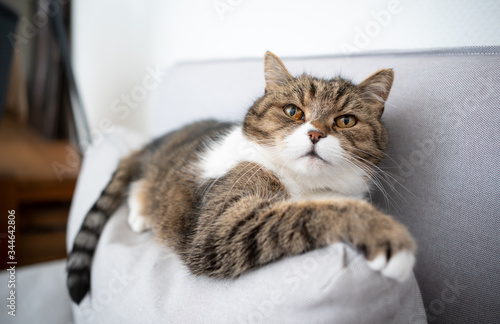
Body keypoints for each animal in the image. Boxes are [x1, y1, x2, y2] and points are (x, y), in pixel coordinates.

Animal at [68, 50, 416, 304]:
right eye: (293, 111)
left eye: (346, 121)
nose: (316, 134)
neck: (304, 184)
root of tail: (154, 144)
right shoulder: (221, 226)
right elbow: (310, 212)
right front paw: (385, 234)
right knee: (137, 182)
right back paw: (141, 212)